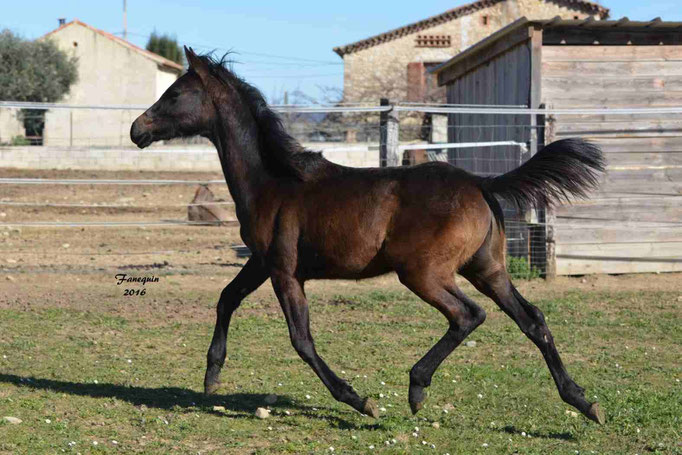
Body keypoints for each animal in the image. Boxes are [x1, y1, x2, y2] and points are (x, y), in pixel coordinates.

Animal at [130, 48, 604, 426]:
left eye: (174, 94)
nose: (137, 129)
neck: (273, 181)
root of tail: (480, 183)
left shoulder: (284, 271)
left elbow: (301, 339)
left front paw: (359, 400)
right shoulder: (261, 262)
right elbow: (227, 298)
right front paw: (211, 375)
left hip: (424, 273)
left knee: (468, 315)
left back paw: (417, 387)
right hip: (486, 269)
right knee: (533, 319)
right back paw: (584, 402)